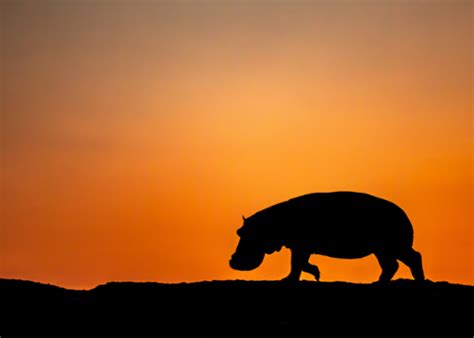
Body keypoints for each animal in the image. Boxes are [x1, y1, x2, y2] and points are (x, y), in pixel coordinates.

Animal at [230, 191, 426, 282]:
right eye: (238, 232)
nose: (232, 261)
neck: (269, 224)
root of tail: (405, 216)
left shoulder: (300, 246)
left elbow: (296, 264)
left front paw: (288, 280)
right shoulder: (299, 246)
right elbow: (299, 264)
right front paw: (314, 274)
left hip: (394, 246)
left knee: (413, 258)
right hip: (382, 250)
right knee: (392, 265)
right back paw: (378, 283)